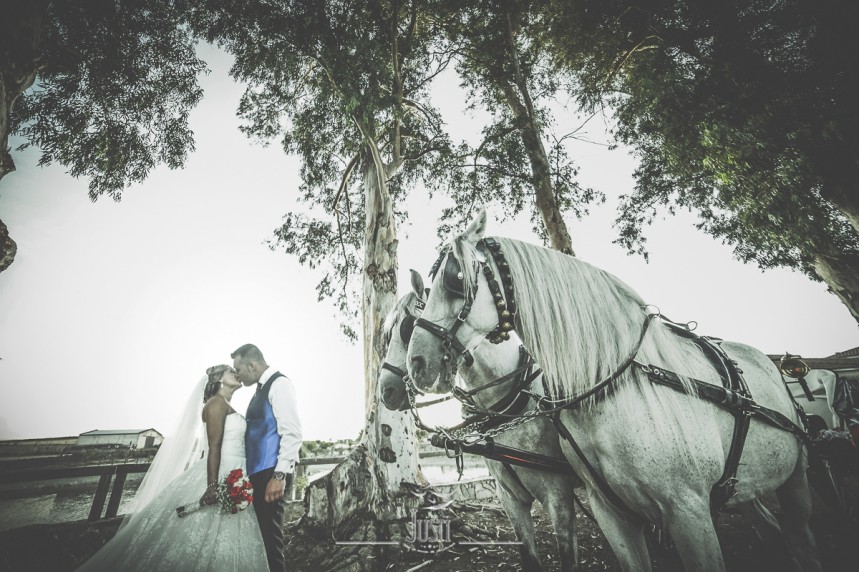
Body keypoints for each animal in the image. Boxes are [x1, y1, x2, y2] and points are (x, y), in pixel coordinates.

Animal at [380, 270, 580, 568]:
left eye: (407, 328)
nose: (386, 391)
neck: (511, 398)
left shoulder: (559, 496)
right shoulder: (509, 498)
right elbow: (529, 557)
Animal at [406, 212, 824, 572]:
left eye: (456, 279)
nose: (416, 365)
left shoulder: (686, 513)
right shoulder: (605, 512)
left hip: (797, 479)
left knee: (802, 535)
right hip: (747, 489)